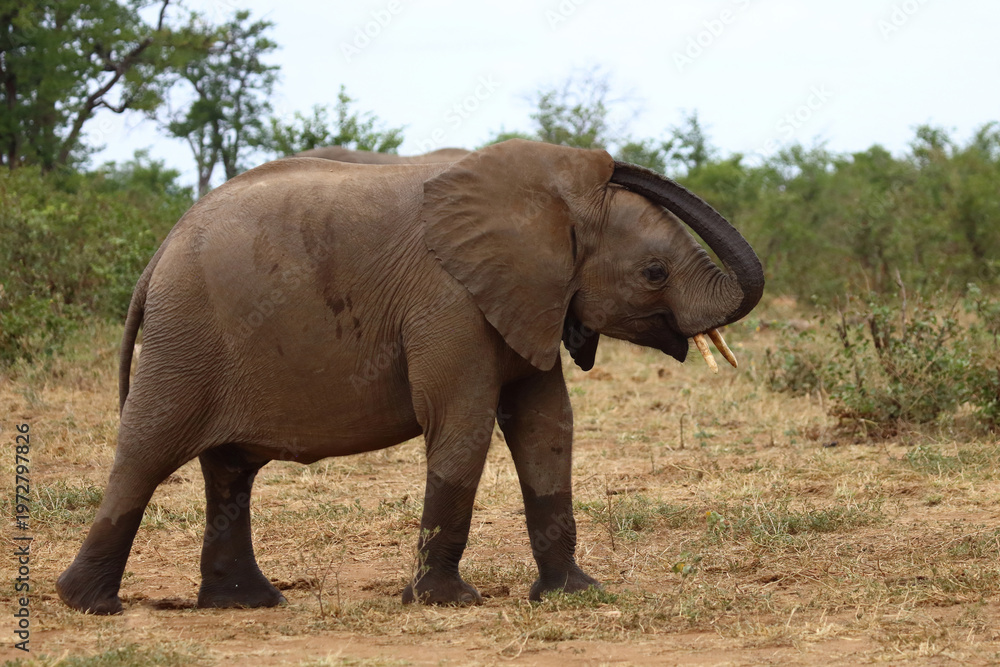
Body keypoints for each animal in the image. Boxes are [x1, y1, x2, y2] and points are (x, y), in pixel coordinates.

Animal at [56, 139, 763, 615]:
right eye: (654, 273)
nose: (610, 160)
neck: (542, 199)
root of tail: (158, 254)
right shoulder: (449, 302)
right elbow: (462, 424)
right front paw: (447, 601)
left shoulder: (526, 301)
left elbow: (546, 427)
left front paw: (576, 594)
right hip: (185, 337)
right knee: (147, 452)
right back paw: (88, 604)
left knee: (230, 471)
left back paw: (249, 604)